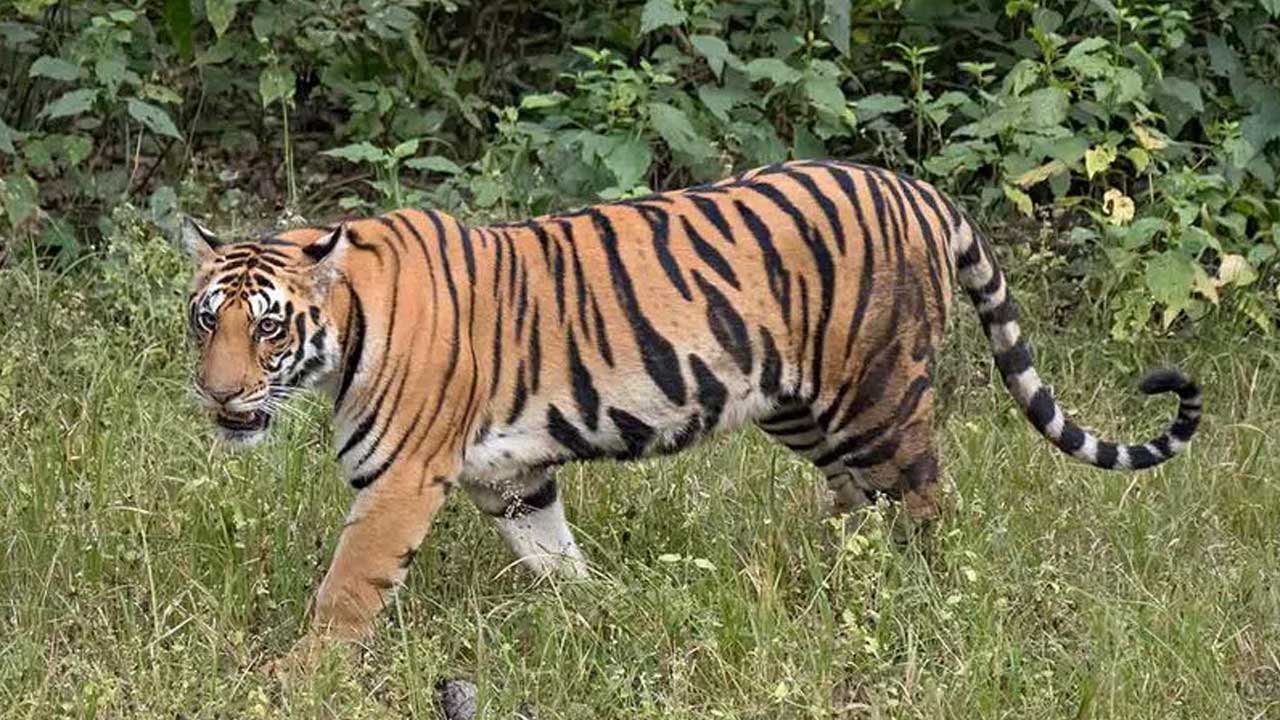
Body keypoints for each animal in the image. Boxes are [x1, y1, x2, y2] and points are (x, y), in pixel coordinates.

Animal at [180, 159, 1201, 650]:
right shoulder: (512, 478)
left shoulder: (399, 483)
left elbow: (346, 591)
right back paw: (836, 582)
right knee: (858, 503)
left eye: (268, 328)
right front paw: (596, 616)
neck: (345, 330)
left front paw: (303, 678)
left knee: (927, 504)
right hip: (804, 408)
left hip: (879, 397)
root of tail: (918, 189)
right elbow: (555, 558)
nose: (217, 394)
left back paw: (927, 598)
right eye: (204, 321)